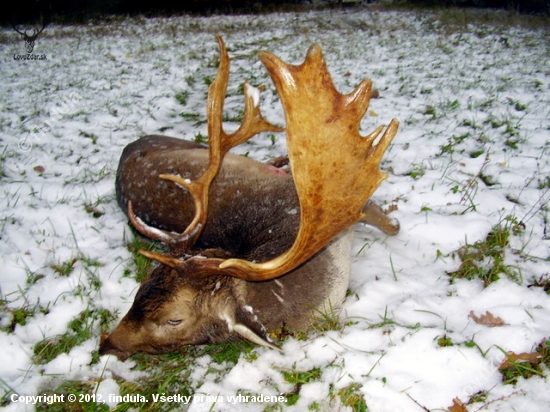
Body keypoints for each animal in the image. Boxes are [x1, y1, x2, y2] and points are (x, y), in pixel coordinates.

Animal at [99, 35, 402, 358]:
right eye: (141, 286)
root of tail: (128, 147)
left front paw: (395, 220)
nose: (105, 345)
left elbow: (385, 221)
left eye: (173, 319)